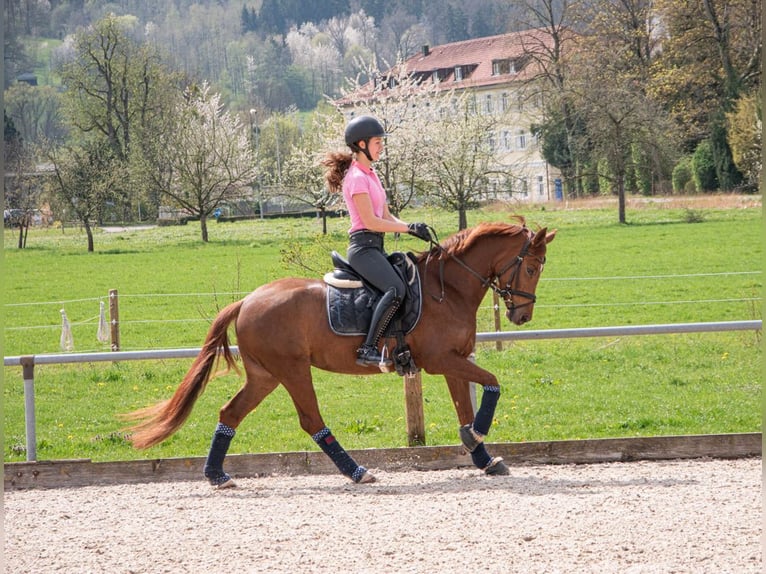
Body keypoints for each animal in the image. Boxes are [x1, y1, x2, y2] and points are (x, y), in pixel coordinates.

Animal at [124, 219, 556, 487]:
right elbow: (492, 384)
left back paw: (218, 476)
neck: (447, 289)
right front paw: (479, 435)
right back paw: (357, 471)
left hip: (265, 375)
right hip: (292, 371)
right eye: (532, 268)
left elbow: (466, 406)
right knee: (311, 420)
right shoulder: (440, 360)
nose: (522, 315)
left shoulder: (455, 360)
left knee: (230, 413)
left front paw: (481, 454)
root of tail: (247, 300)